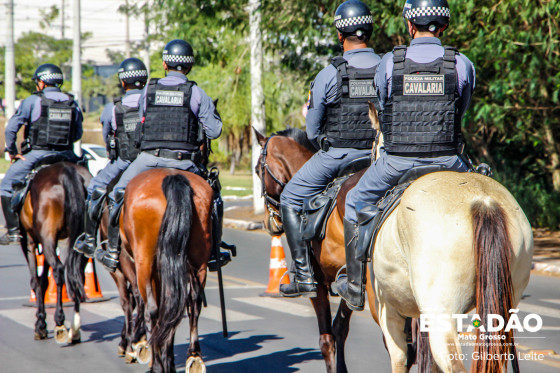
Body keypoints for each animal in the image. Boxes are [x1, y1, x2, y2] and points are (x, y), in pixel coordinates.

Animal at [19, 163, 92, 342]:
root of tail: (66, 170)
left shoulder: (30, 242)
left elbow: (36, 282)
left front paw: (40, 324)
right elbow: (44, 281)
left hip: (46, 238)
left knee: (59, 271)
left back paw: (59, 322)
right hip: (76, 242)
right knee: (77, 275)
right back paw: (75, 327)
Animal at [119, 169, 213, 372]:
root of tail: (172, 176)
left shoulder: (127, 264)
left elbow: (132, 303)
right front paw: (167, 359)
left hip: (144, 264)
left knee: (152, 310)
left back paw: (157, 364)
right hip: (198, 262)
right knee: (191, 304)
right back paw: (194, 357)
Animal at [255, 126, 378, 370]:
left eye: (257, 170)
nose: (267, 222)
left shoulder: (319, 284)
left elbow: (327, 338)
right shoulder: (349, 286)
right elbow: (340, 329)